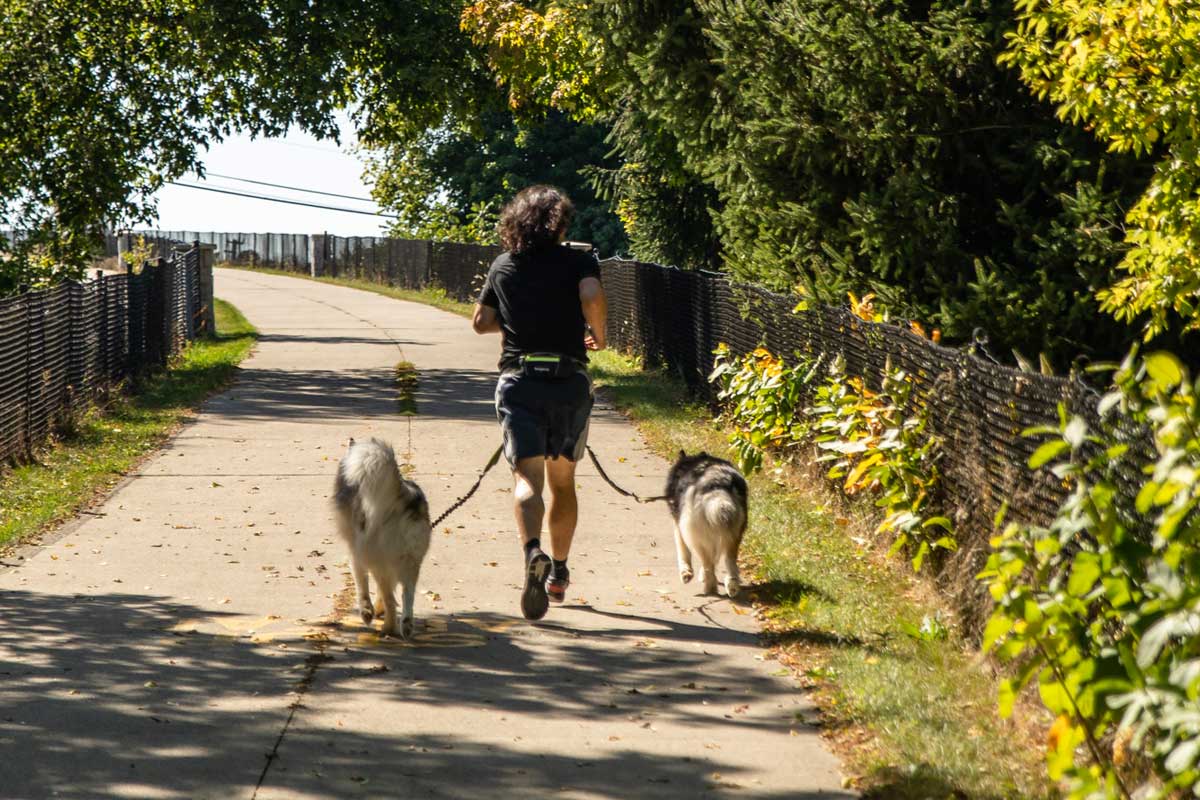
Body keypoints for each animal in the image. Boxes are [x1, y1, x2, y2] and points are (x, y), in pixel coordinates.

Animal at [333, 438, 432, 638]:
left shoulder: (357, 553)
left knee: (391, 599)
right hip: (411, 561)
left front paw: (368, 612)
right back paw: (406, 625)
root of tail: (402, 499)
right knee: (407, 594)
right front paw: (377, 609)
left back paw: (388, 628)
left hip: (379, 560)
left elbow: (361, 583)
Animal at [667, 450, 748, 594]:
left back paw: (710, 587)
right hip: (734, 533)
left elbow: (683, 552)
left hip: (696, 534)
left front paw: (686, 573)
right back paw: (732, 585)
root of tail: (718, 485)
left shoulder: (679, 526)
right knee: (730, 561)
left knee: (707, 563)